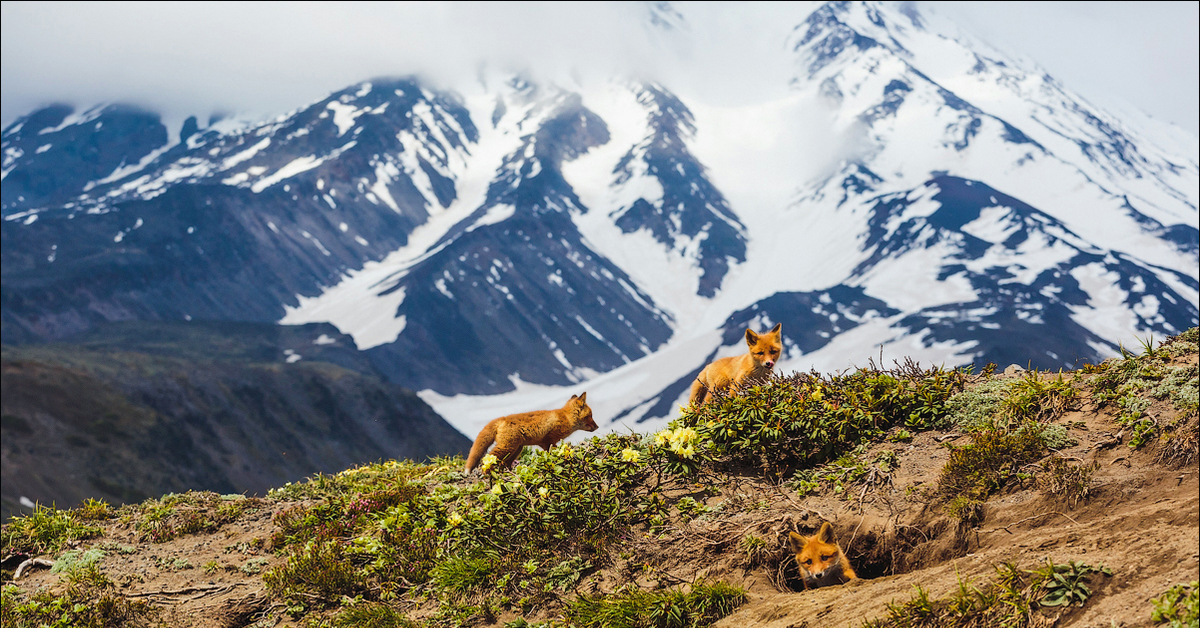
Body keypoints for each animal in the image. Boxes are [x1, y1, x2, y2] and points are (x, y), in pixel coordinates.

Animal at [460, 393, 597, 470]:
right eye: (590, 415)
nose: (597, 427)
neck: (566, 418)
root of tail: (502, 418)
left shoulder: (543, 443)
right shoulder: (549, 439)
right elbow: (553, 451)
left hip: (516, 450)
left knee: (504, 463)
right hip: (507, 447)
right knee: (488, 458)